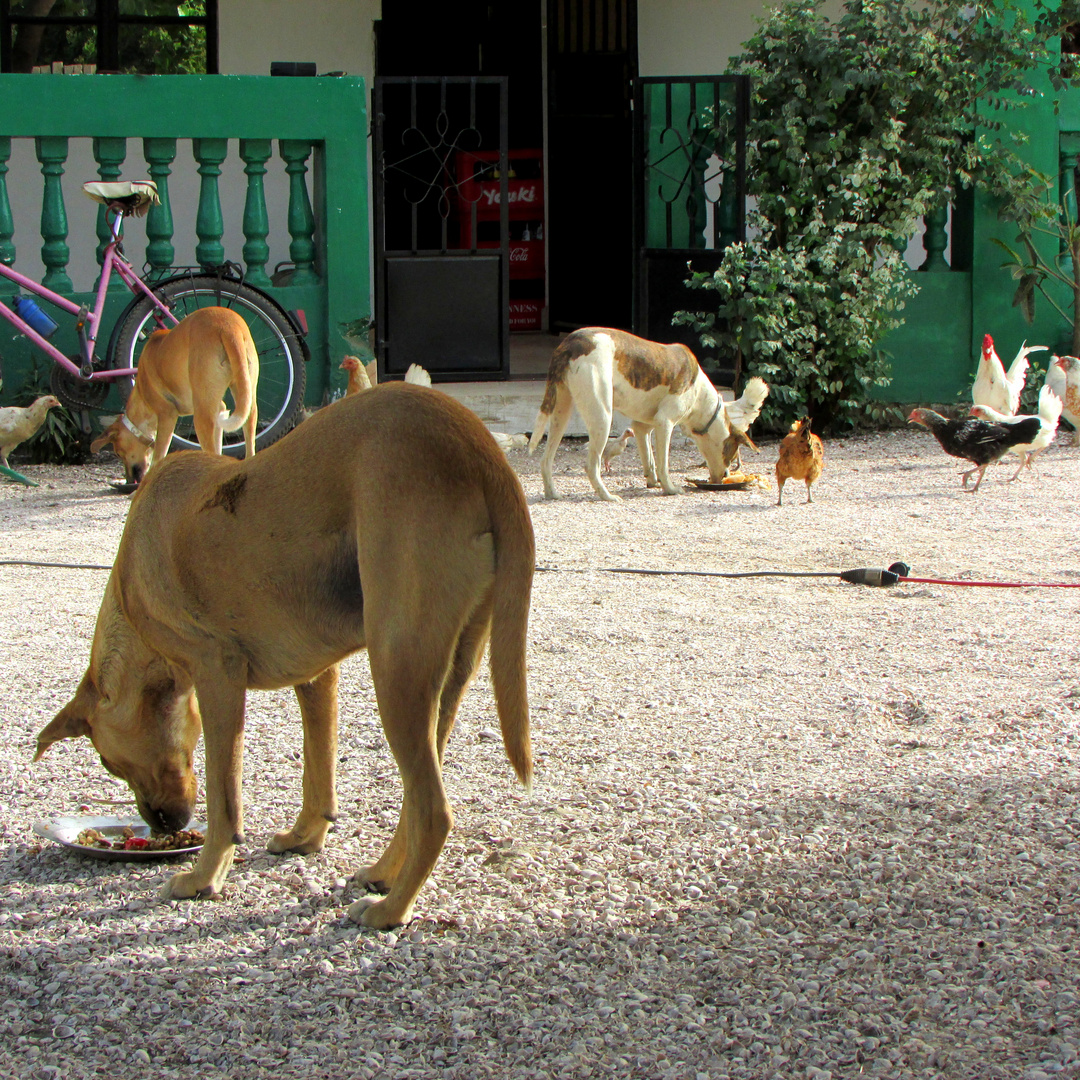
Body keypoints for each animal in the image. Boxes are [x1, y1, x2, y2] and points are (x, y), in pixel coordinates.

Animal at [35, 386, 533, 928]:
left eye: (107, 762)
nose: (163, 825)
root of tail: (479, 448)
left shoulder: (218, 677)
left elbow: (224, 800)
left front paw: (204, 877)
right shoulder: (316, 678)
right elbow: (318, 771)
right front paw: (304, 837)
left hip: (396, 669)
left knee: (434, 812)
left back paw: (391, 909)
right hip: (444, 675)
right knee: (416, 794)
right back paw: (383, 872)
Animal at [91, 306, 260, 488]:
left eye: (118, 453)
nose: (130, 480)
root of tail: (228, 326)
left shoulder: (167, 416)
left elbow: (158, 457)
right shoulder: (219, 410)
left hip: (202, 417)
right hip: (246, 398)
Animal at [524, 324, 764, 501]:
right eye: (731, 455)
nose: (725, 476)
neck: (700, 396)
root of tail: (569, 342)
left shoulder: (642, 427)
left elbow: (649, 458)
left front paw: (652, 481)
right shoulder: (665, 423)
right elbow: (663, 463)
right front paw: (669, 488)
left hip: (561, 414)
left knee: (546, 460)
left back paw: (552, 493)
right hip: (602, 416)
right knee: (592, 465)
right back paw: (606, 496)